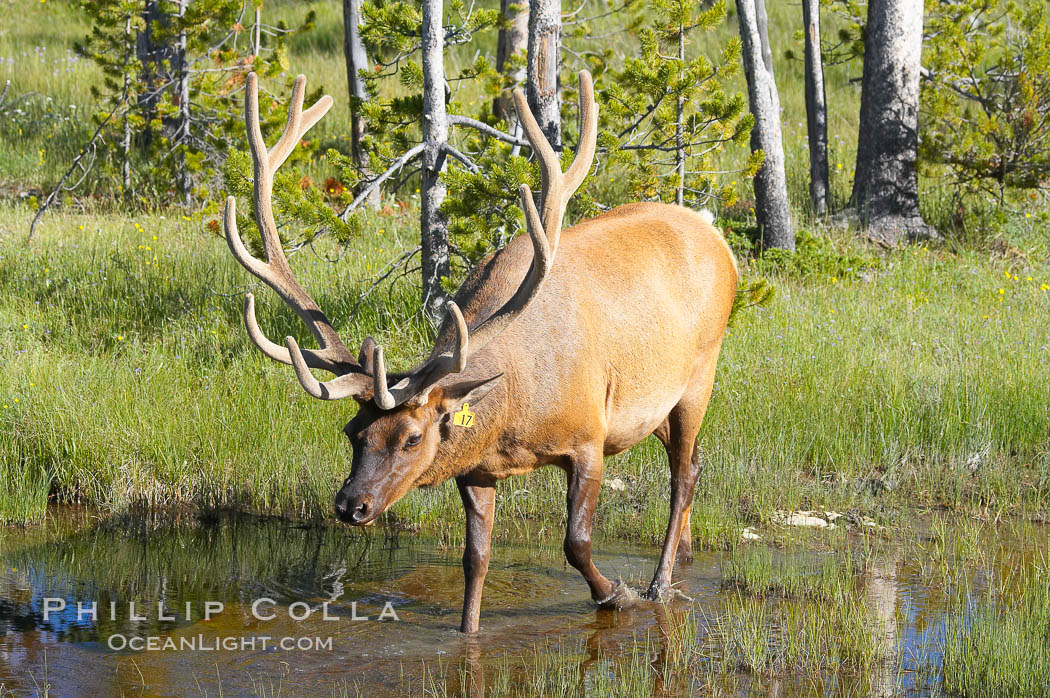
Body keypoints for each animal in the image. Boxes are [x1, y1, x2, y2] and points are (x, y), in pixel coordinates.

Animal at [224, 70, 739, 629]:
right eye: (351, 432)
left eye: (411, 438)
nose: (350, 505)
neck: (513, 415)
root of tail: (717, 236)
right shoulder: (476, 469)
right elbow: (476, 560)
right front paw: (468, 632)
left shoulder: (588, 438)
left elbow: (576, 543)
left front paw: (616, 595)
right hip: (658, 406)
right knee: (692, 467)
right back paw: (683, 561)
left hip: (700, 372)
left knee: (683, 476)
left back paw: (659, 584)